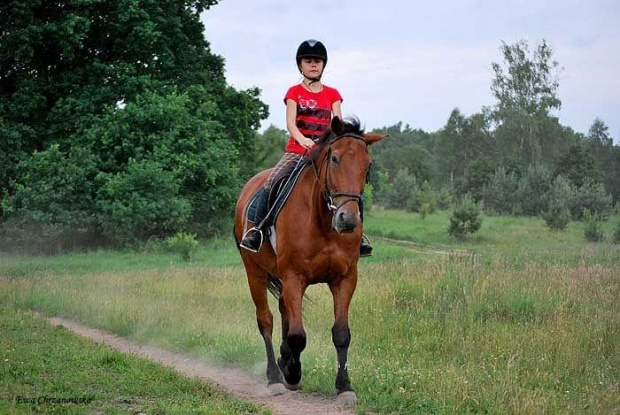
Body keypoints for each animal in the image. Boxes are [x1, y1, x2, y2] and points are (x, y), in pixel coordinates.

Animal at [234, 115, 388, 404]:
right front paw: (293, 375)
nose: (348, 219)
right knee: (266, 320)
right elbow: (297, 335)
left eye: (369, 165)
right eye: (335, 158)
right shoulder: (294, 277)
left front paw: (345, 386)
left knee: (283, 311)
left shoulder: (344, 278)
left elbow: (341, 333)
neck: (323, 220)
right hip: (254, 272)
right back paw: (275, 377)